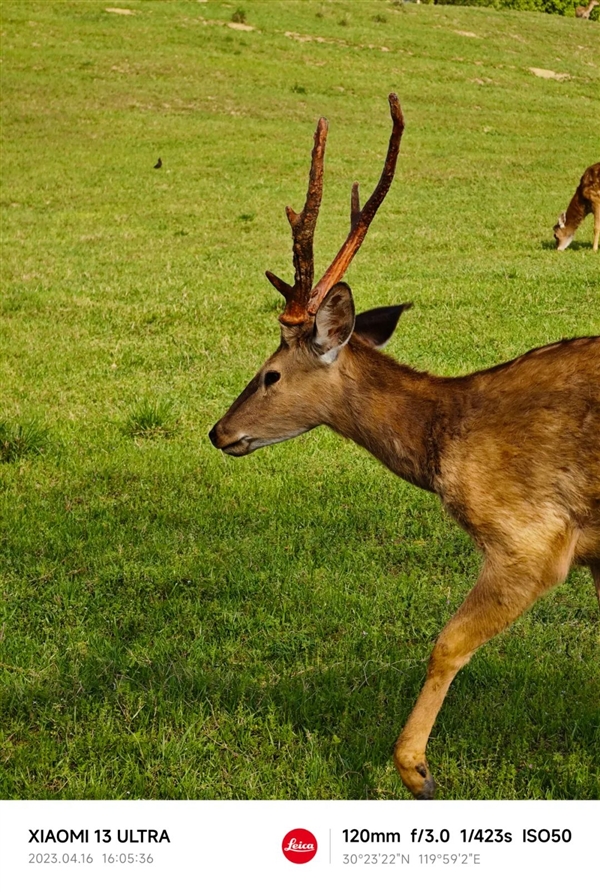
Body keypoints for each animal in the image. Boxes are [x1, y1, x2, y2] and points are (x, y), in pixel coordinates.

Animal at [210, 94, 600, 796]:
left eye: (270, 373)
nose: (219, 431)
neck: (447, 437)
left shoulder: (534, 538)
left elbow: (447, 642)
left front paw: (415, 768)